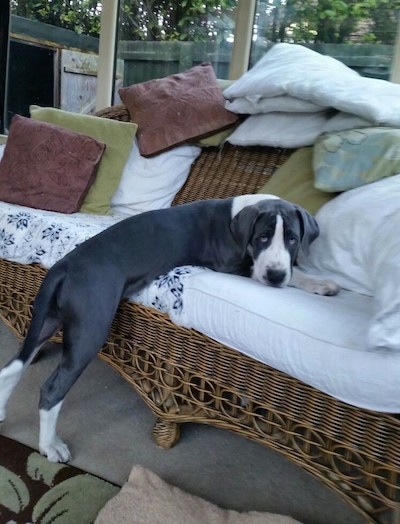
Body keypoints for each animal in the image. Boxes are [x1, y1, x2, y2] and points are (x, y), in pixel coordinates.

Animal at [0, 194, 340, 460]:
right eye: (263, 238)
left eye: (293, 238)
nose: (275, 276)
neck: (238, 217)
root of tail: (63, 266)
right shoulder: (231, 264)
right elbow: (275, 271)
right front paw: (319, 282)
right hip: (89, 328)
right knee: (52, 388)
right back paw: (50, 446)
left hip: (48, 320)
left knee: (15, 364)